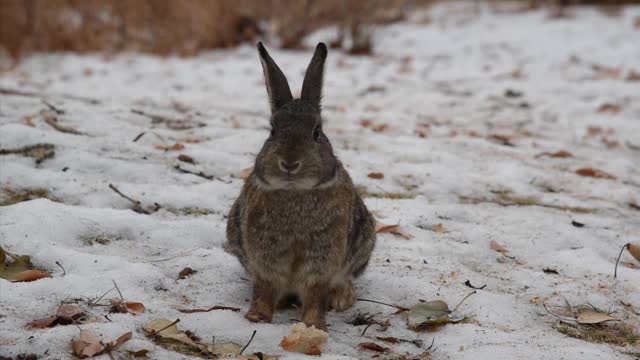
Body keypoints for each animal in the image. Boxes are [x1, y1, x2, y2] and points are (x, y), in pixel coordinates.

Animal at [225, 41, 376, 330]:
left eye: (316, 132)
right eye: (272, 131)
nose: (290, 163)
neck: (295, 192)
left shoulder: (321, 259)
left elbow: (315, 292)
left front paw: (313, 325)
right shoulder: (265, 257)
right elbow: (265, 287)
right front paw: (257, 316)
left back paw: (342, 297)